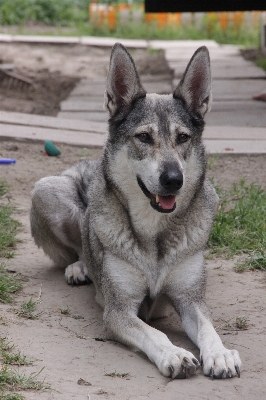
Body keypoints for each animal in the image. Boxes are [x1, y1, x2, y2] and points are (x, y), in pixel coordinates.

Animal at [30, 43, 241, 378]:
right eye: (144, 137)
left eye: (183, 138)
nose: (174, 179)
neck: (154, 232)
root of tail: (86, 164)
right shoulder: (119, 311)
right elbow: (154, 333)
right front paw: (174, 354)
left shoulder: (191, 300)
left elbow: (209, 329)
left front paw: (220, 354)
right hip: (46, 189)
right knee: (78, 248)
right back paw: (80, 267)